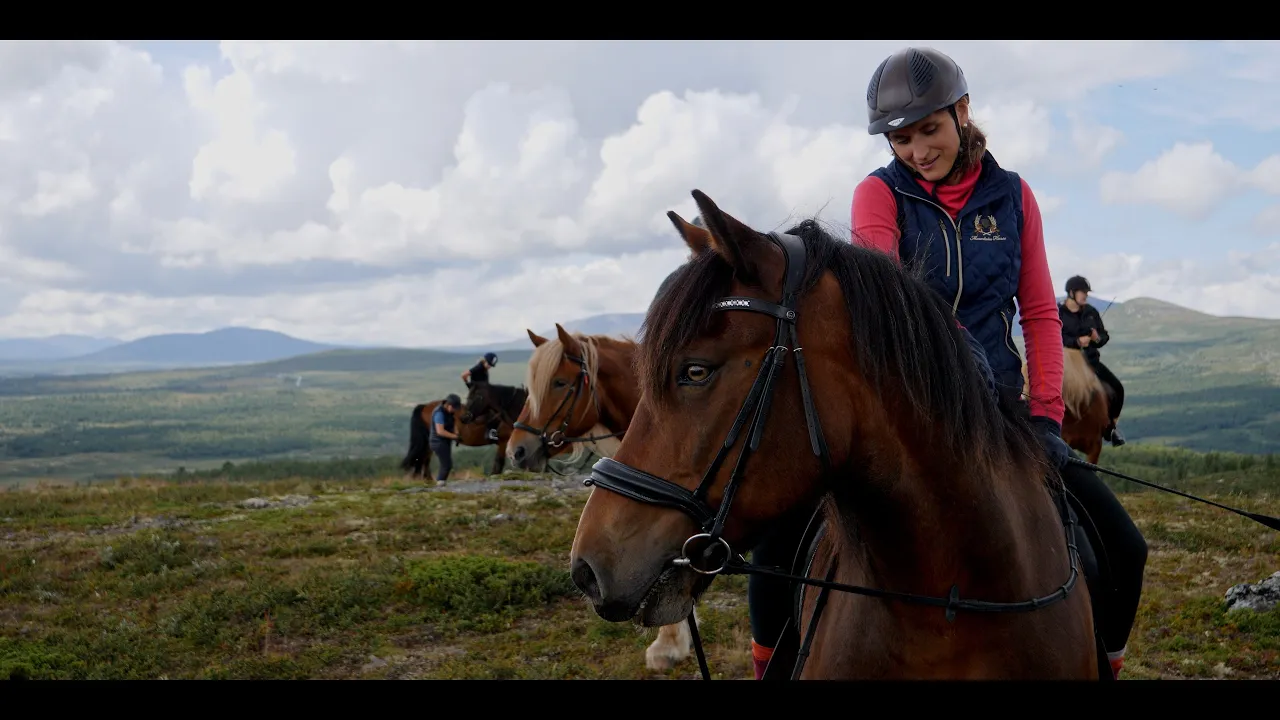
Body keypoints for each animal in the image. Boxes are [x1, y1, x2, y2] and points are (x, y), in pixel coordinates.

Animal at [394, 379, 524, 479]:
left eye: (477, 397)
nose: (464, 417)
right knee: (423, 460)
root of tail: (425, 406)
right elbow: (499, 464)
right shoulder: (503, 442)